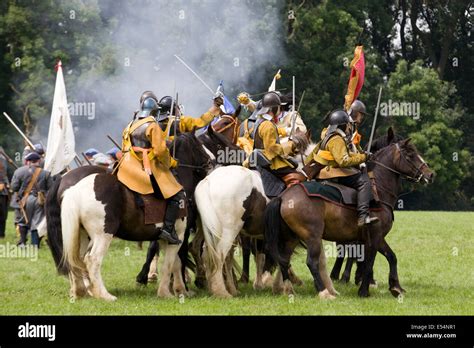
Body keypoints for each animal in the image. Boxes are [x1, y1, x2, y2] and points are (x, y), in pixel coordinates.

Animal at [264, 137, 436, 298]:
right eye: (410, 154)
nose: (430, 174)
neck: (379, 191)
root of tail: (283, 197)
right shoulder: (375, 237)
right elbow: (369, 262)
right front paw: (364, 291)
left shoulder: (377, 238)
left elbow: (391, 257)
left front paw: (396, 287)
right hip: (312, 237)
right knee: (311, 262)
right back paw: (324, 292)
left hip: (291, 238)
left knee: (284, 261)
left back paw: (288, 289)